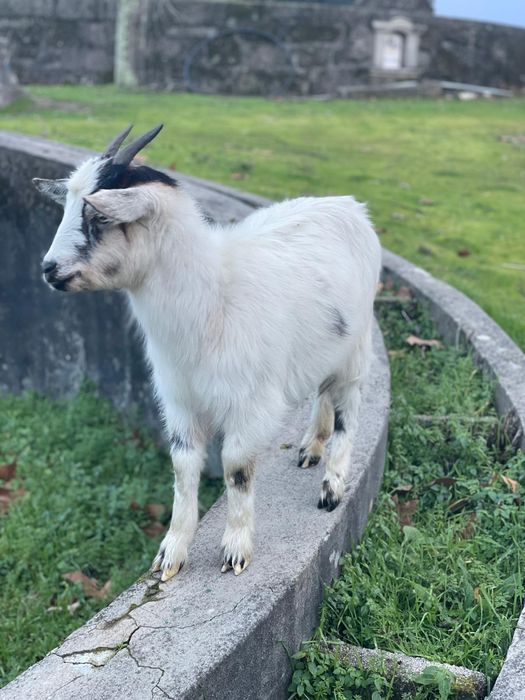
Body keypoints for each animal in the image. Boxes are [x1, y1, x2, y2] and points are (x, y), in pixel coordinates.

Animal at [33, 125, 381, 581]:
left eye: (99, 216)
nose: (48, 269)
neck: (214, 298)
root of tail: (350, 205)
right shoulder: (180, 400)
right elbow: (183, 469)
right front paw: (171, 554)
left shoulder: (249, 403)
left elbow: (235, 468)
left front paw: (235, 549)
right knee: (323, 390)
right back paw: (310, 447)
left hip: (356, 346)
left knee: (348, 409)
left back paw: (332, 485)